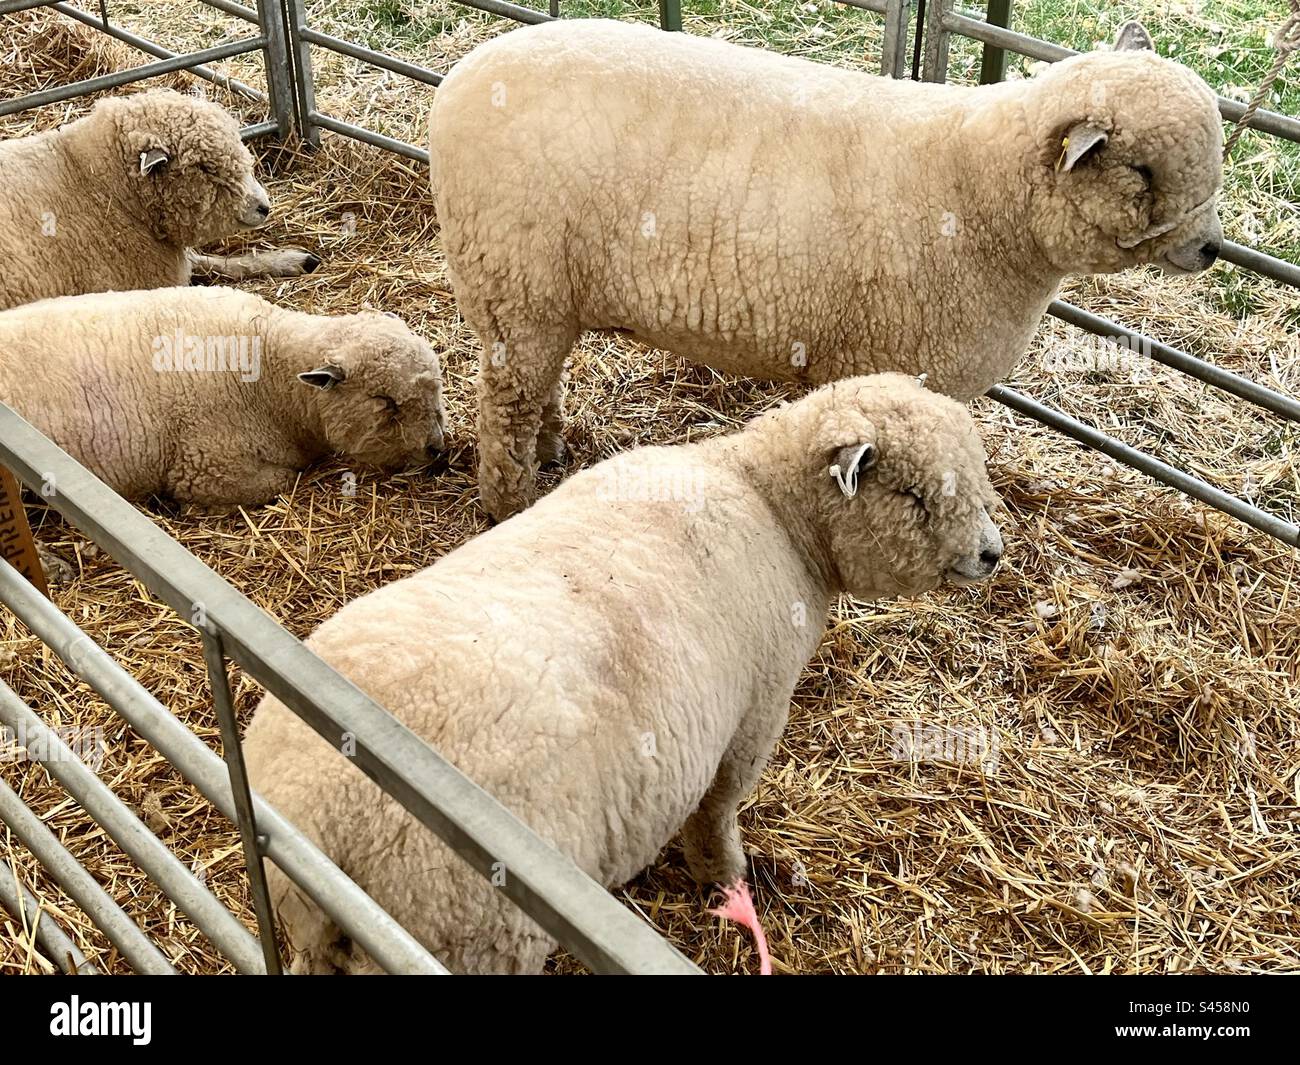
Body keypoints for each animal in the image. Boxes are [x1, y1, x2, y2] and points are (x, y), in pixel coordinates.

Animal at [242, 372, 1005, 974]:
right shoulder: (753, 715)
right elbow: (717, 809)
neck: (769, 503)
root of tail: (330, 825)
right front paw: (725, 876)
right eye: (913, 495)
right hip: (474, 932)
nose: (994, 553)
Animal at [428, 18, 1225, 519]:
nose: (1212, 250)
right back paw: (510, 499)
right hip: (510, 282)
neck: (980, 190)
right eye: (1142, 170)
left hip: (538, 297)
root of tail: (457, 81)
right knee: (506, 407)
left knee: (537, 385)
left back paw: (553, 449)